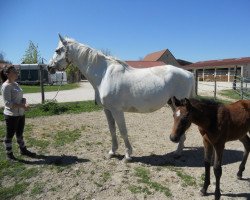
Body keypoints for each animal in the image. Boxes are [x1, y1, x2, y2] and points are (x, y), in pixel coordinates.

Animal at [47, 34, 195, 161]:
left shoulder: (117, 110)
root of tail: (188, 74)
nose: (49, 67)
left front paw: (128, 154)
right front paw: (112, 152)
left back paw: (177, 152)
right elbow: (112, 130)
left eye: (58, 50)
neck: (104, 75)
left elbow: (123, 131)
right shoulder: (107, 110)